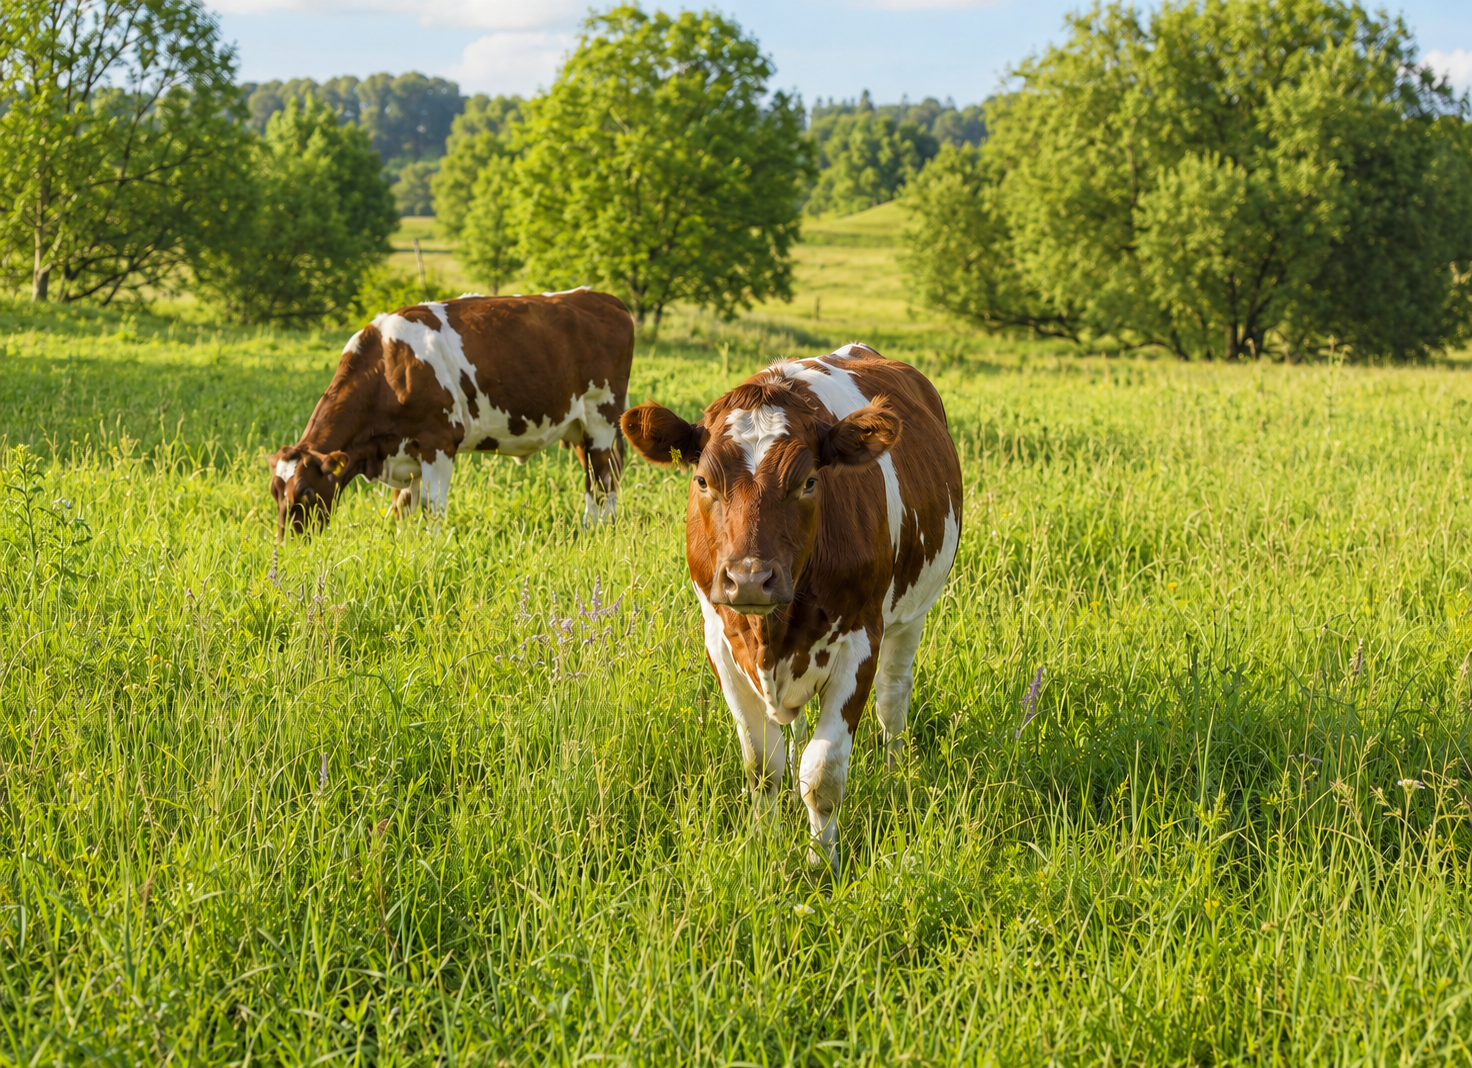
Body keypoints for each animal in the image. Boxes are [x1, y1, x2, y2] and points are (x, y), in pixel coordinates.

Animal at [268, 287, 634, 537]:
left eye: (305, 493)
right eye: (275, 493)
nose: (289, 545)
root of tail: (601, 298)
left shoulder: (438, 441)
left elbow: (432, 508)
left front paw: (431, 546)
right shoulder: (402, 450)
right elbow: (402, 507)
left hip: (601, 418)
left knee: (603, 478)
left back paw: (599, 530)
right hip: (578, 427)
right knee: (598, 476)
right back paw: (594, 527)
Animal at [621, 342, 962, 872]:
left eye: (808, 482)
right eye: (702, 480)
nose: (749, 579)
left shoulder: (860, 641)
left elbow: (821, 774)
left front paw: (821, 864)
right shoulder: (720, 643)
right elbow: (764, 765)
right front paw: (762, 842)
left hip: (913, 612)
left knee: (892, 698)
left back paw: (894, 776)